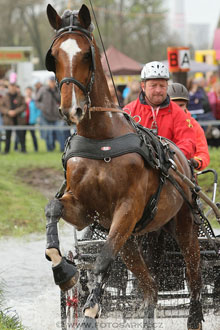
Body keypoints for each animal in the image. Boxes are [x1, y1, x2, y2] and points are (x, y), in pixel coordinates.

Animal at [44, 3, 203, 328]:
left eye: (86, 54)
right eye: (53, 56)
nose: (71, 109)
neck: (102, 138)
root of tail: (179, 157)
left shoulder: (127, 209)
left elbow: (103, 258)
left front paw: (90, 314)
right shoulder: (84, 210)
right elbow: (52, 208)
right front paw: (63, 271)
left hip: (182, 226)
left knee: (195, 282)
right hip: (132, 240)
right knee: (150, 287)